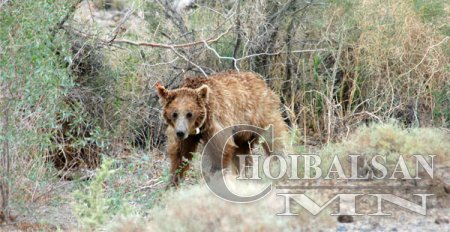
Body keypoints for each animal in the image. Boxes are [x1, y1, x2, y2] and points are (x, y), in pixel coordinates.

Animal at [156, 70, 286, 185]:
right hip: (241, 132)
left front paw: (215, 178)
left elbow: (222, 149)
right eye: (174, 114)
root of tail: (260, 80)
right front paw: (172, 184)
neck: (201, 125)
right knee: (242, 153)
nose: (180, 132)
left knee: (275, 140)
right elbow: (180, 155)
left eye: (189, 113)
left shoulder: (216, 121)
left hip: (262, 114)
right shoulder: (187, 136)